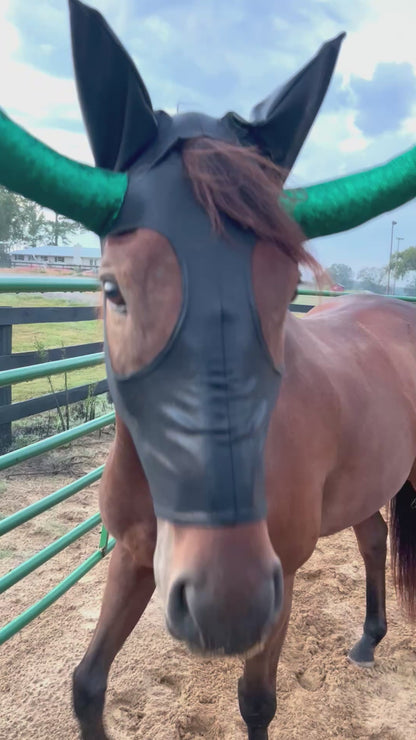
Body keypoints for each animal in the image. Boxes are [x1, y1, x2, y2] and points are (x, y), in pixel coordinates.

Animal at [71, 136, 416, 739]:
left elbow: (256, 702)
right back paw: (368, 642)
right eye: (113, 289)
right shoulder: (134, 557)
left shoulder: (279, 586)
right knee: (374, 540)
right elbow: (88, 684)